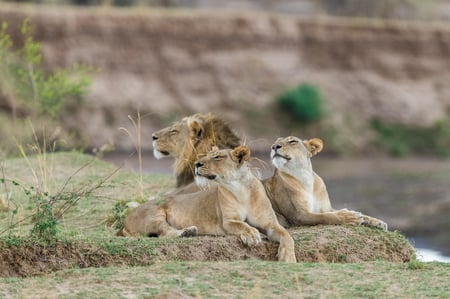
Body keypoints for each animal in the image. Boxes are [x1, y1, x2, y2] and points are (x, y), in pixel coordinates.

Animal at [118, 146, 298, 264]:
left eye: (217, 157)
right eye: (206, 155)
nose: (197, 164)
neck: (241, 189)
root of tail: (125, 221)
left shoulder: (270, 223)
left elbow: (287, 236)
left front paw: (288, 257)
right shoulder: (227, 221)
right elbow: (242, 225)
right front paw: (252, 235)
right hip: (155, 212)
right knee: (164, 232)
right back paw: (187, 232)